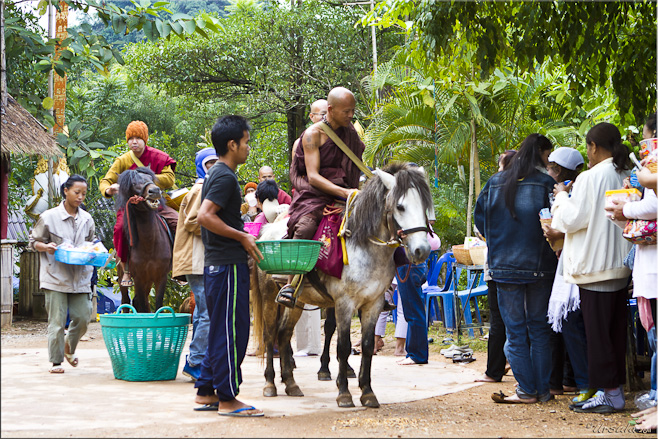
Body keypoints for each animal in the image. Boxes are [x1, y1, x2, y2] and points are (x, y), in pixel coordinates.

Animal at [114, 168, 172, 312]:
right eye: (133, 183)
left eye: (151, 178)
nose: (155, 191)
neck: (150, 244)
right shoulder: (139, 278)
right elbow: (139, 304)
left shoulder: (160, 276)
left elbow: (157, 304)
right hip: (123, 276)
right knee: (126, 301)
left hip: (148, 280)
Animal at [250, 163, 430, 410]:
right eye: (400, 206)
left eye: (424, 206)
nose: (423, 250)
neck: (365, 246)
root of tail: (266, 230)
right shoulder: (345, 303)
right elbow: (343, 346)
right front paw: (344, 393)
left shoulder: (373, 304)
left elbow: (366, 346)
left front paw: (367, 393)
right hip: (269, 295)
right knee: (270, 336)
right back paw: (270, 384)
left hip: (297, 302)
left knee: (284, 333)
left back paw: (291, 384)